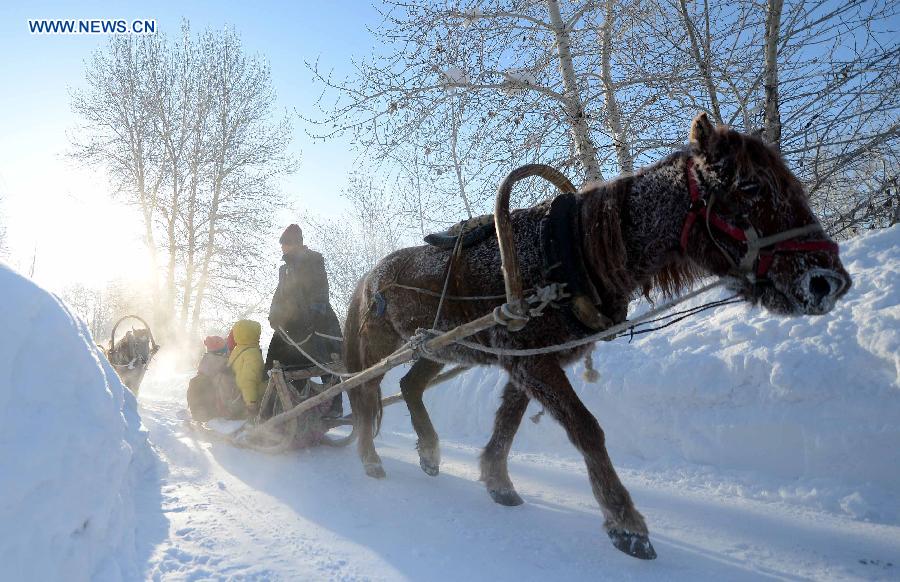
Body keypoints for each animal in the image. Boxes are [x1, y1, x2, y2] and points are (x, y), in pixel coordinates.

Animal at [342, 115, 852, 560]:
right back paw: (369, 458)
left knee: (410, 385)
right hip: (379, 349)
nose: (827, 280)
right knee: (364, 395)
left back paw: (429, 451)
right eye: (750, 188)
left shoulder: (530, 361)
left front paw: (497, 480)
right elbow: (586, 429)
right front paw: (626, 523)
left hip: (444, 346)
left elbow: (509, 419)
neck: (570, 252)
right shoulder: (531, 361)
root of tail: (368, 277)